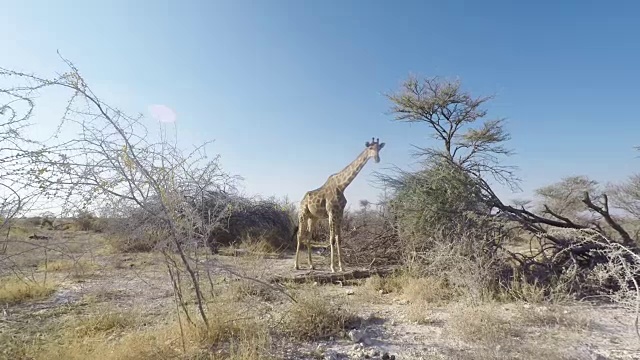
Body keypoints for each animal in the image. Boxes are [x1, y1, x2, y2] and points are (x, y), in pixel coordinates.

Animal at [294, 138, 384, 272]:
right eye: (370, 148)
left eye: (379, 148)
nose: (377, 159)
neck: (342, 186)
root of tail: (302, 199)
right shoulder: (331, 212)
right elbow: (331, 239)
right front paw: (333, 267)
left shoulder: (340, 213)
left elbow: (339, 239)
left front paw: (341, 267)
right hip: (303, 214)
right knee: (300, 235)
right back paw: (296, 265)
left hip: (314, 218)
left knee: (309, 237)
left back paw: (312, 265)